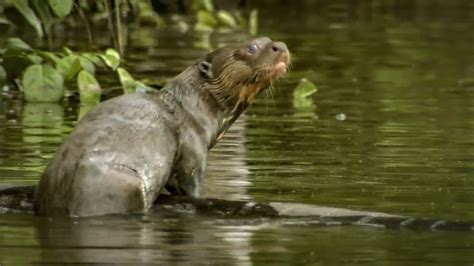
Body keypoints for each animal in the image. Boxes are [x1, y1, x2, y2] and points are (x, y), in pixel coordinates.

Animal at [33, 37, 290, 216]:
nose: (280, 46)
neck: (193, 108)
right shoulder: (192, 149)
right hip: (122, 186)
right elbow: (189, 185)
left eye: (269, 39)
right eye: (252, 47)